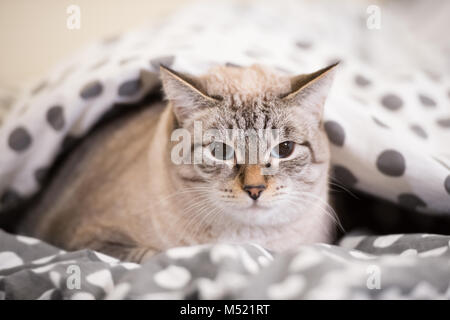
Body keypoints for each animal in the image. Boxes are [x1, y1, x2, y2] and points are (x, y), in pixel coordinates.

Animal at [19, 63, 340, 262]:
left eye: (284, 149)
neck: (247, 242)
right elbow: (154, 255)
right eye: (220, 151)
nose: (255, 189)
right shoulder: (89, 242)